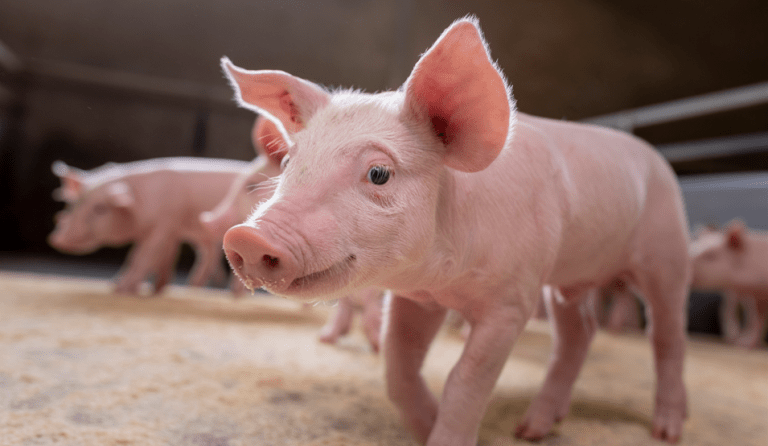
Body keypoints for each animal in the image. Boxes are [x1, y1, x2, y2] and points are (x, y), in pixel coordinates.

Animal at [49, 157, 250, 295]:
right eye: (74, 204)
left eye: (100, 208)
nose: (58, 240)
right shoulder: (171, 230)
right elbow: (154, 258)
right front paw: (152, 290)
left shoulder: (163, 225)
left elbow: (143, 256)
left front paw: (122, 290)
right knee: (208, 254)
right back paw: (194, 288)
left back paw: (233, 294)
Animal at [220, 17, 691, 445]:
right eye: (287, 162)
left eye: (378, 173)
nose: (247, 238)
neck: (446, 279)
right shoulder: (416, 298)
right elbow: (397, 370)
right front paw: (425, 426)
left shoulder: (512, 300)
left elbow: (464, 380)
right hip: (569, 278)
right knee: (579, 333)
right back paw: (533, 430)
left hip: (666, 252)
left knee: (666, 334)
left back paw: (666, 430)